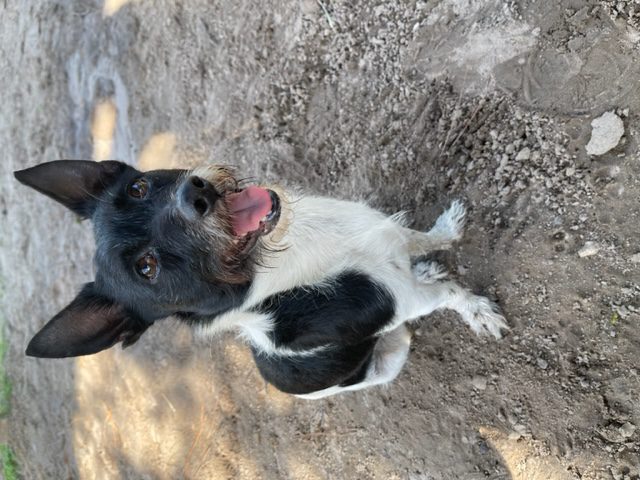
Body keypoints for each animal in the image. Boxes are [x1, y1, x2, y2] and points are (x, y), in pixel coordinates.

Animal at [13, 159, 504, 400]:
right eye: (146, 269)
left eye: (138, 189)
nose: (194, 194)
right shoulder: (402, 299)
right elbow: (450, 293)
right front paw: (480, 313)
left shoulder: (385, 234)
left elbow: (419, 237)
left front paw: (445, 233)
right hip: (390, 355)